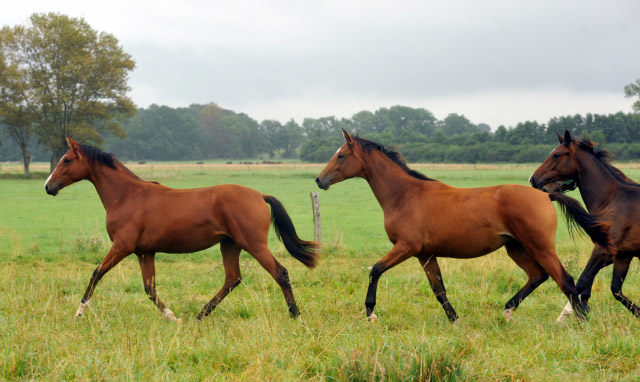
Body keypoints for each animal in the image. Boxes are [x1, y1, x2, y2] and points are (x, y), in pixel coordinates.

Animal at [43, 137, 318, 320]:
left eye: (66, 160)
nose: (48, 187)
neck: (127, 196)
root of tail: (260, 195)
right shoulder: (145, 252)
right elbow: (149, 288)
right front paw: (172, 317)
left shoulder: (122, 247)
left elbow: (96, 274)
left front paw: (79, 311)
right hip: (230, 244)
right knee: (232, 279)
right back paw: (200, 315)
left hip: (253, 244)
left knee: (280, 273)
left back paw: (296, 315)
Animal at [316, 129, 616, 322]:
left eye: (341, 155)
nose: (320, 180)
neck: (405, 195)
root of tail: (544, 194)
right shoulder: (425, 254)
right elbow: (438, 288)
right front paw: (454, 319)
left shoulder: (406, 248)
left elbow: (375, 270)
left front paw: (370, 312)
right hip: (516, 248)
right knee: (537, 275)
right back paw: (508, 310)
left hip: (539, 246)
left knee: (565, 280)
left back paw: (580, 320)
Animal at [528, 130, 640, 320]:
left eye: (556, 154)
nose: (533, 180)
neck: (612, 200)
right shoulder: (621, 255)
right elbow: (611, 289)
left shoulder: (603, 250)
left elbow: (582, 282)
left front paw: (574, 315)